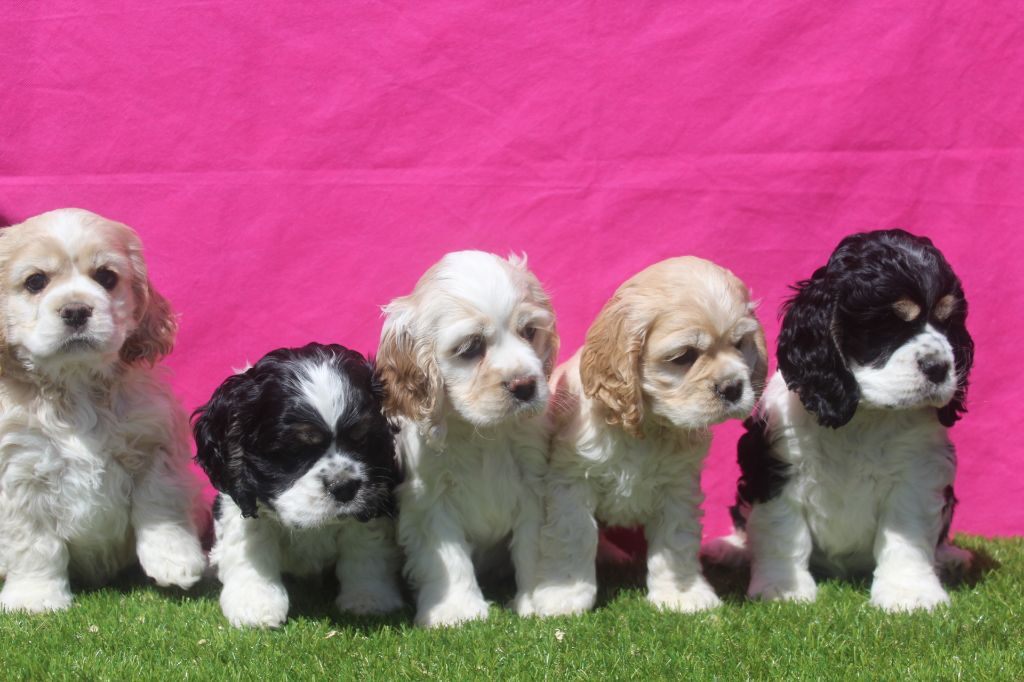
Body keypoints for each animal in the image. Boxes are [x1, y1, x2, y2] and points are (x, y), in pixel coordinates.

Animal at [0, 208, 205, 612]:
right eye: (35, 281)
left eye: (106, 277)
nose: (76, 310)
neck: (76, 385)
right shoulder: (19, 471)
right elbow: (32, 542)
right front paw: (35, 597)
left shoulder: (153, 445)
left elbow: (162, 507)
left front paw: (174, 560)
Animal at [193, 343, 404, 628]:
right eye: (294, 450)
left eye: (362, 440)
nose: (344, 487)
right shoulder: (242, 504)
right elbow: (252, 546)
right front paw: (255, 603)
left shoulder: (374, 500)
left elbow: (365, 547)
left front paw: (369, 597)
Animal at [377, 250, 559, 627]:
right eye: (471, 347)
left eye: (529, 331)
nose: (525, 385)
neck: (484, 434)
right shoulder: (430, 498)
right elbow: (448, 556)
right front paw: (457, 610)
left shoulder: (533, 485)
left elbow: (532, 546)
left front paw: (536, 599)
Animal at [532, 257, 767, 616]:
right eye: (684, 356)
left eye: (740, 345)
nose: (733, 387)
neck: (647, 427)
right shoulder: (571, 481)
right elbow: (574, 536)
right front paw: (564, 596)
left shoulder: (678, 488)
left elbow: (676, 541)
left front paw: (682, 594)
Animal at [714, 229, 974, 612]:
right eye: (885, 325)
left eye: (948, 321)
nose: (939, 368)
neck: (864, 416)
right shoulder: (776, 466)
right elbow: (782, 532)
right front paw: (782, 589)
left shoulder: (916, 474)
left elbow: (907, 538)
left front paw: (910, 594)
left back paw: (953, 556)